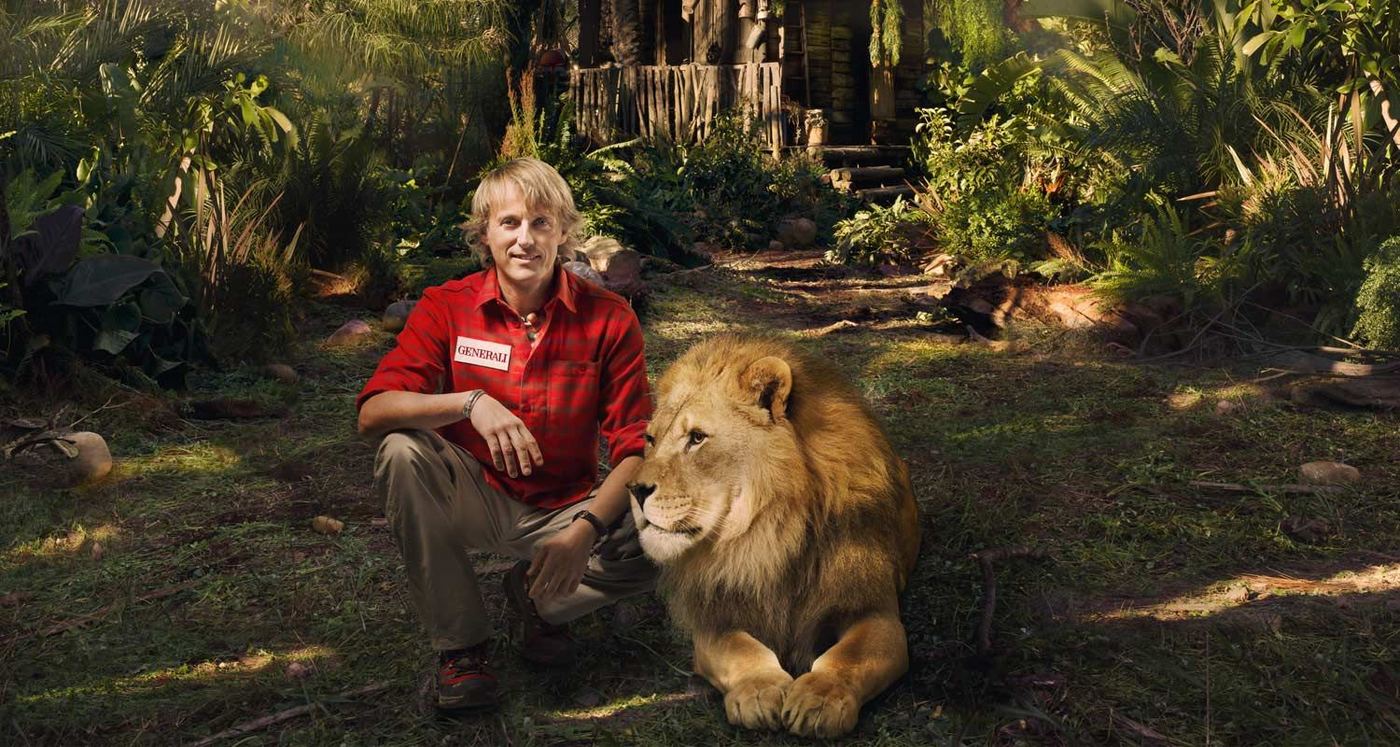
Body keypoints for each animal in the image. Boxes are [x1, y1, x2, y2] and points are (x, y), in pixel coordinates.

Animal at [627, 334, 921, 738]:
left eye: (697, 438)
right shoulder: (716, 617)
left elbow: (850, 657)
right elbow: (741, 649)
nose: (635, 490)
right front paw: (759, 691)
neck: (770, 536)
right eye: (650, 439)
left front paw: (820, 699)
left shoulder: (876, 612)